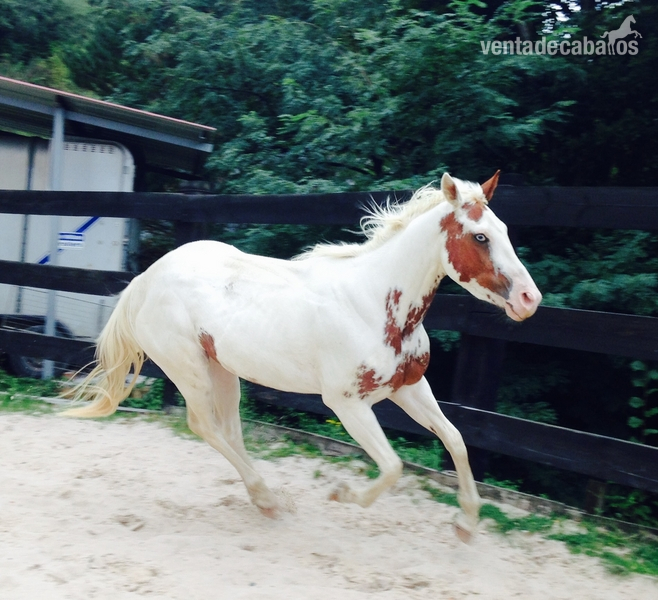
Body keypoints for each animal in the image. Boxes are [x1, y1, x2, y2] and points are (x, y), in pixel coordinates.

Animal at [62, 171, 542, 542]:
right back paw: (268, 497)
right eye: (480, 236)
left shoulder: (408, 387)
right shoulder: (347, 403)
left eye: (505, 230)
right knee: (204, 426)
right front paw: (341, 494)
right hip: (189, 371)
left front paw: (466, 523)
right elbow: (392, 466)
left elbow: (456, 439)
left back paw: (264, 498)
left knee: (229, 430)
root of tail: (146, 278)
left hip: (223, 370)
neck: (373, 303)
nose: (529, 299)